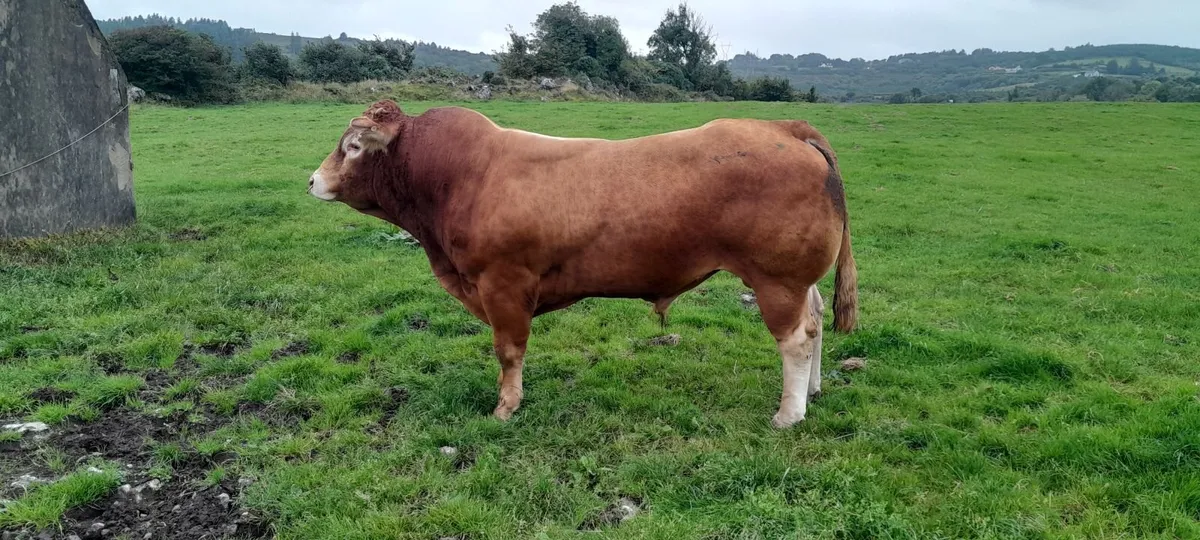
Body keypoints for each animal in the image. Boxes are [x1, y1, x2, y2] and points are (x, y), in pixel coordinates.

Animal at [307, 100, 858, 428]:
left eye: (352, 147)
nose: (312, 181)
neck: (459, 177)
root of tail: (781, 126)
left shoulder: (503, 285)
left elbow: (508, 351)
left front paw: (505, 407)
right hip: (795, 280)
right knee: (816, 322)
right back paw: (813, 391)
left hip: (776, 279)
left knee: (797, 338)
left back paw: (789, 413)